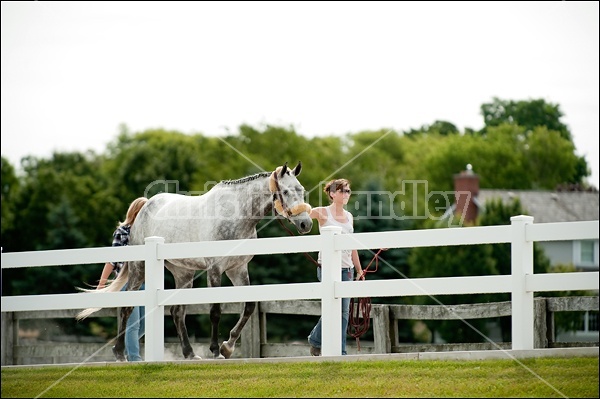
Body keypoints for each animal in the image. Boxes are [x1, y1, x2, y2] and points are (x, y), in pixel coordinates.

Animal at [77, 162, 312, 362]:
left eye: (301, 190)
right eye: (287, 192)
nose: (306, 224)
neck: (236, 215)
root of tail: (145, 207)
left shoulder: (237, 269)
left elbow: (249, 306)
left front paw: (228, 346)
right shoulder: (215, 269)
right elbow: (215, 311)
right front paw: (216, 350)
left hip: (183, 273)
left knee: (177, 313)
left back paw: (189, 353)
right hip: (139, 268)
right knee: (126, 308)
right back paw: (119, 353)